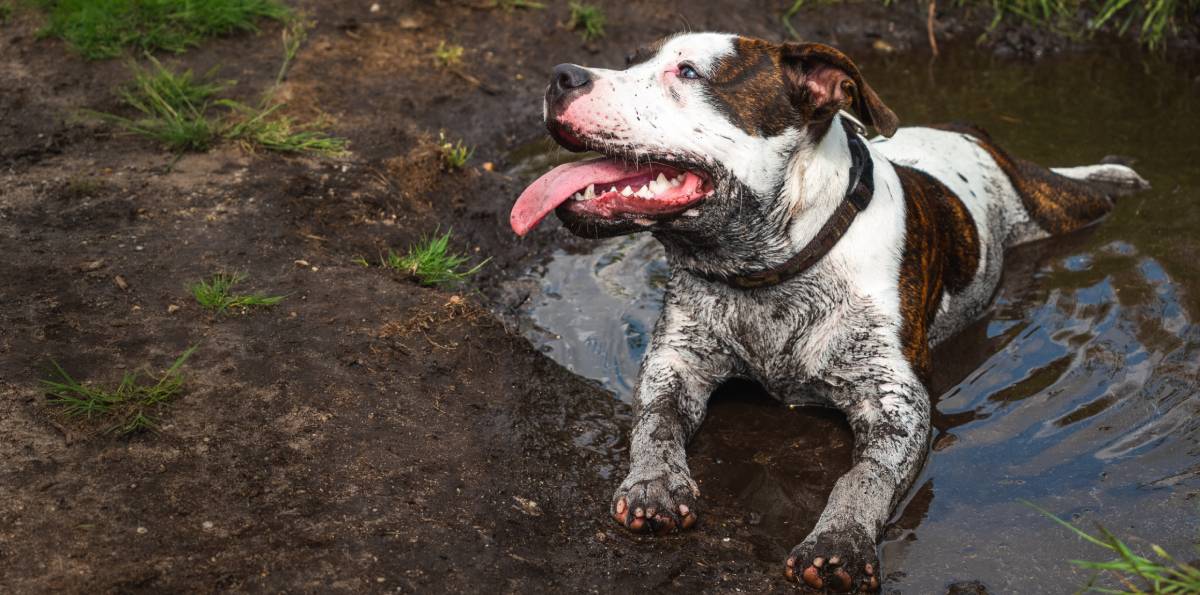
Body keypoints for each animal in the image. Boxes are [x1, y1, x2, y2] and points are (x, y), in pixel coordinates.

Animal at [506, 32, 1142, 590]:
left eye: (688, 72)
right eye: (631, 60)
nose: (561, 76)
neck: (773, 271)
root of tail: (965, 131)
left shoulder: (897, 404)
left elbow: (863, 476)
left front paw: (841, 541)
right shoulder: (676, 360)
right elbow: (655, 423)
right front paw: (655, 483)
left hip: (1058, 206)